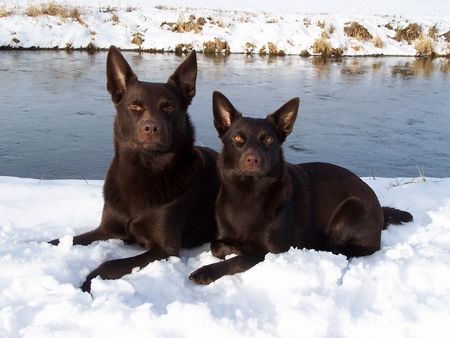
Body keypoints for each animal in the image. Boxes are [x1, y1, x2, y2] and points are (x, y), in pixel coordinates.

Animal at [49, 46, 218, 292]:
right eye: (135, 106)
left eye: (168, 107)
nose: (151, 128)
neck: (142, 171)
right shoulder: (106, 230)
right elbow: (61, 240)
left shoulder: (165, 249)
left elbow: (109, 264)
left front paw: (88, 282)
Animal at [188, 91, 414, 284]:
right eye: (237, 138)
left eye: (268, 139)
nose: (253, 159)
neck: (248, 194)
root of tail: (379, 208)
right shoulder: (222, 238)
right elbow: (216, 246)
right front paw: (230, 248)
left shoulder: (270, 252)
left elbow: (239, 260)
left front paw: (206, 271)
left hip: (350, 210)